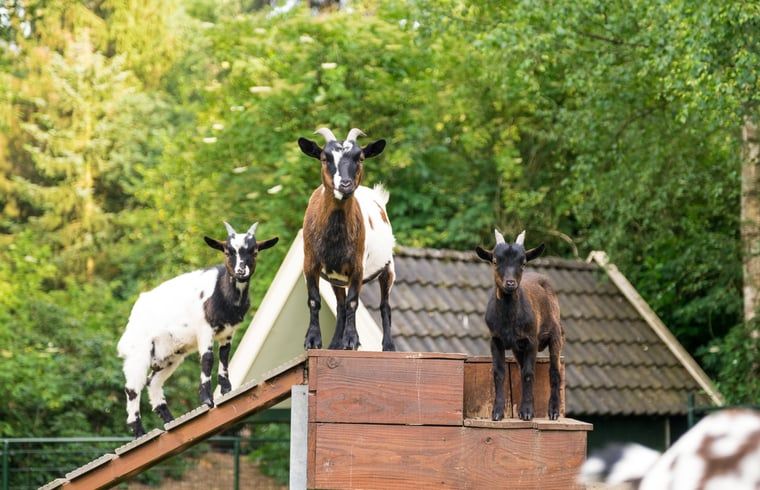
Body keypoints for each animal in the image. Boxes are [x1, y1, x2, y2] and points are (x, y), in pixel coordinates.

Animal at [117, 221, 278, 437]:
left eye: (254, 251)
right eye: (227, 251)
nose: (240, 272)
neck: (223, 294)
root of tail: (135, 311)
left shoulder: (228, 332)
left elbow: (225, 356)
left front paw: (226, 390)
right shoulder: (205, 329)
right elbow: (207, 359)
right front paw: (207, 400)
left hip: (170, 355)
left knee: (153, 382)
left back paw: (170, 422)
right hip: (139, 352)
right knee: (132, 388)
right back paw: (140, 432)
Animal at [298, 127, 396, 351]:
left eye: (360, 158)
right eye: (324, 158)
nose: (345, 184)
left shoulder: (357, 266)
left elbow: (353, 302)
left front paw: (351, 340)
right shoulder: (310, 263)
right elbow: (314, 300)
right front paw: (313, 340)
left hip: (388, 267)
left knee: (385, 305)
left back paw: (388, 346)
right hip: (337, 278)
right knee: (340, 306)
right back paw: (335, 343)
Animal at [475, 229, 564, 421]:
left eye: (523, 263)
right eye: (495, 261)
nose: (510, 283)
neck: (509, 320)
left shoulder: (531, 340)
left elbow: (529, 374)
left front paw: (527, 412)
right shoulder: (496, 340)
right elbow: (499, 373)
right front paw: (497, 412)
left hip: (556, 335)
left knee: (554, 371)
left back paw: (553, 411)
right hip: (517, 349)